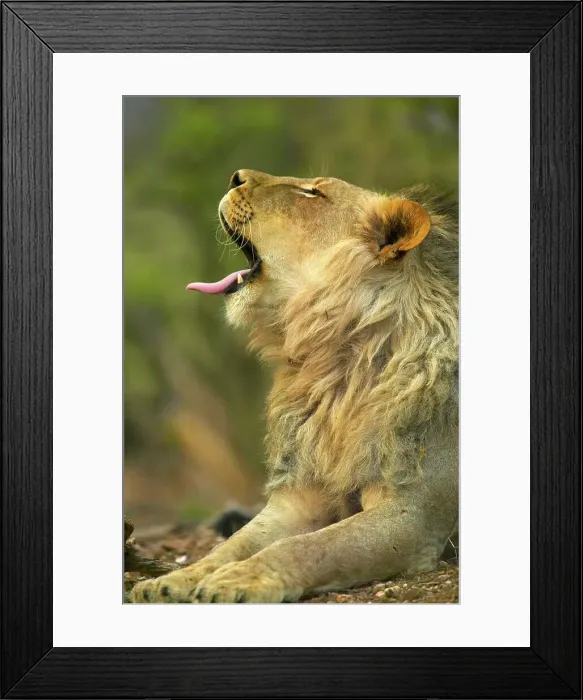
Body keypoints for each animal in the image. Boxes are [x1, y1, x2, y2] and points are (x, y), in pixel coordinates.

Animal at [131, 169, 458, 603]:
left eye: (313, 192)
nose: (236, 176)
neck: (331, 363)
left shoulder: (412, 516)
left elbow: (309, 547)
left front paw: (235, 581)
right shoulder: (298, 499)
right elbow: (234, 544)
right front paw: (173, 581)